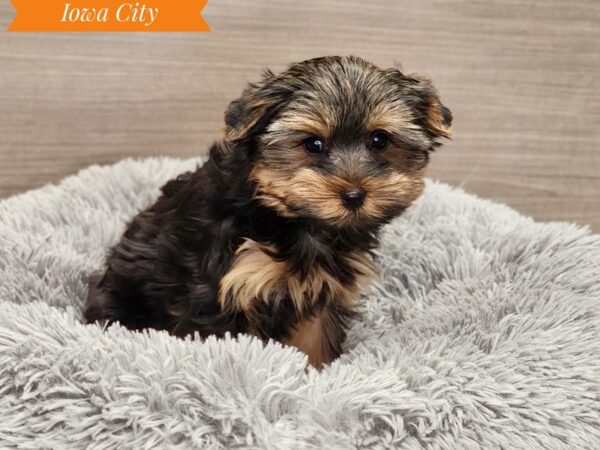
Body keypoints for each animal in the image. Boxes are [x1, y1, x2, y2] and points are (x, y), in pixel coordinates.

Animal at [84, 54, 450, 368]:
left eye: (379, 141)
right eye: (313, 144)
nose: (354, 194)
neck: (294, 220)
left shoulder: (324, 290)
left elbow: (315, 341)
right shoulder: (222, 290)